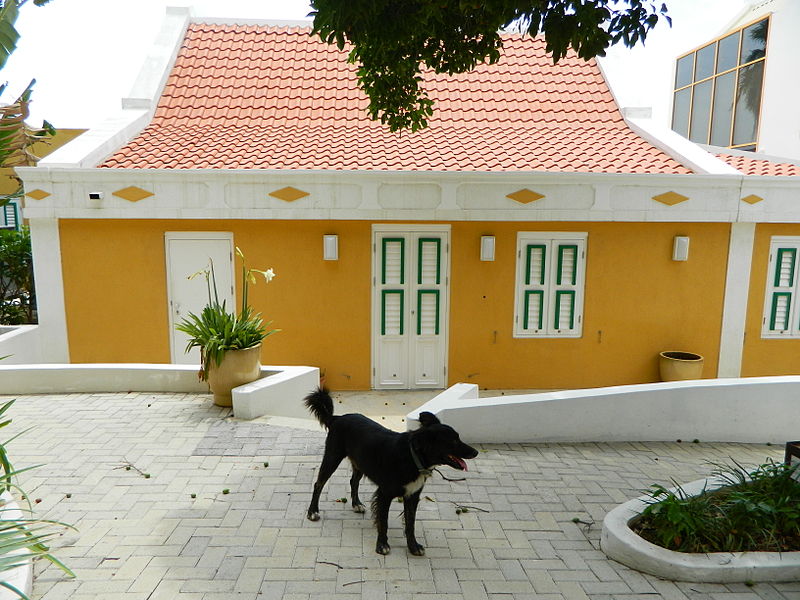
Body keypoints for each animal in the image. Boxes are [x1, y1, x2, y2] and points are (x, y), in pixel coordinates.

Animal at [302, 386, 476, 556]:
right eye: (453, 441)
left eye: (458, 437)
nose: (475, 452)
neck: (412, 457)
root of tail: (336, 418)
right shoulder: (384, 494)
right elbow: (383, 522)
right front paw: (382, 545)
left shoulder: (412, 495)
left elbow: (410, 524)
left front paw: (413, 547)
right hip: (332, 457)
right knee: (318, 484)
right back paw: (313, 512)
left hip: (361, 462)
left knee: (353, 481)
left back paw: (356, 504)